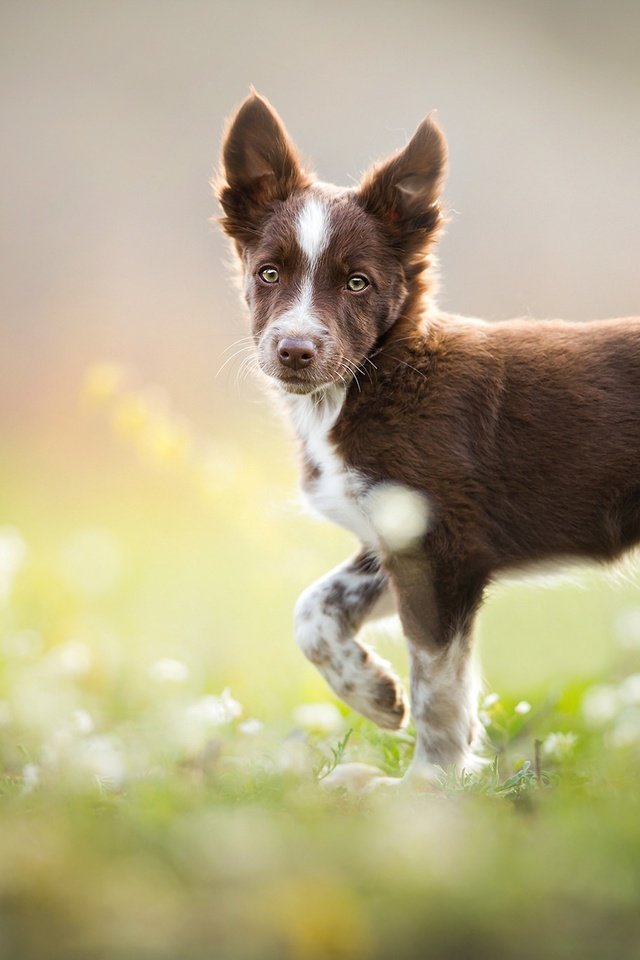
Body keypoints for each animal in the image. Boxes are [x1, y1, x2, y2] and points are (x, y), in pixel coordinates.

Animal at [215, 90, 640, 780]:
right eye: (269, 274)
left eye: (358, 282)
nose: (295, 351)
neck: (375, 379)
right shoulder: (398, 533)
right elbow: (313, 609)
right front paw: (373, 694)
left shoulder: (445, 550)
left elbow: (439, 685)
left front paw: (429, 783)